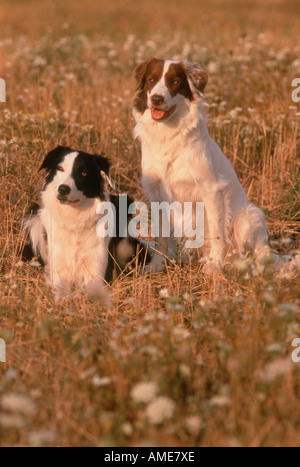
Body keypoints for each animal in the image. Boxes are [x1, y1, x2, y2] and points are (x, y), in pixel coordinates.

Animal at [21, 146, 148, 304]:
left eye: (84, 173)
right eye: (60, 168)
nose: (63, 189)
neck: (75, 220)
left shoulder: (95, 270)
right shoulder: (59, 267)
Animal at [133, 59, 270, 274]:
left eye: (174, 81)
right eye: (151, 79)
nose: (156, 99)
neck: (168, 136)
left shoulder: (211, 189)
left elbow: (217, 231)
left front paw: (214, 265)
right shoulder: (155, 192)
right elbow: (161, 235)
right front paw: (157, 265)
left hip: (250, 215)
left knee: (259, 253)